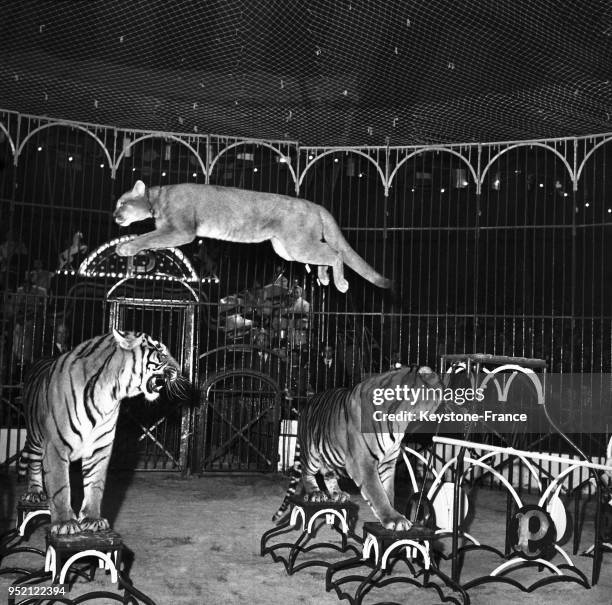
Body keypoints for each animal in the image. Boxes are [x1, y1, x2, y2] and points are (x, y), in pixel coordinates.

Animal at [19, 330, 186, 532]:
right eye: (161, 354)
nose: (180, 370)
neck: (110, 392)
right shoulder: (55, 446)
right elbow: (60, 487)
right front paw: (65, 523)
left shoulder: (100, 447)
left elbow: (95, 485)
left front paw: (92, 519)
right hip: (35, 437)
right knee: (33, 462)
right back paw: (35, 492)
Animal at [274, 364, 448, 528]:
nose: (448, 395)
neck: (401, 421)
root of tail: (307, 403)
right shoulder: (363, 462)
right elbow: (377, 492)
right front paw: (394, 519)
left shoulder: (387, 463)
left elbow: (388, 492)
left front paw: (390, 515)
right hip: (311, 452)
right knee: (306, 472)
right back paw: (314, 493)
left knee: (327, 472)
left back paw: (337, 493)